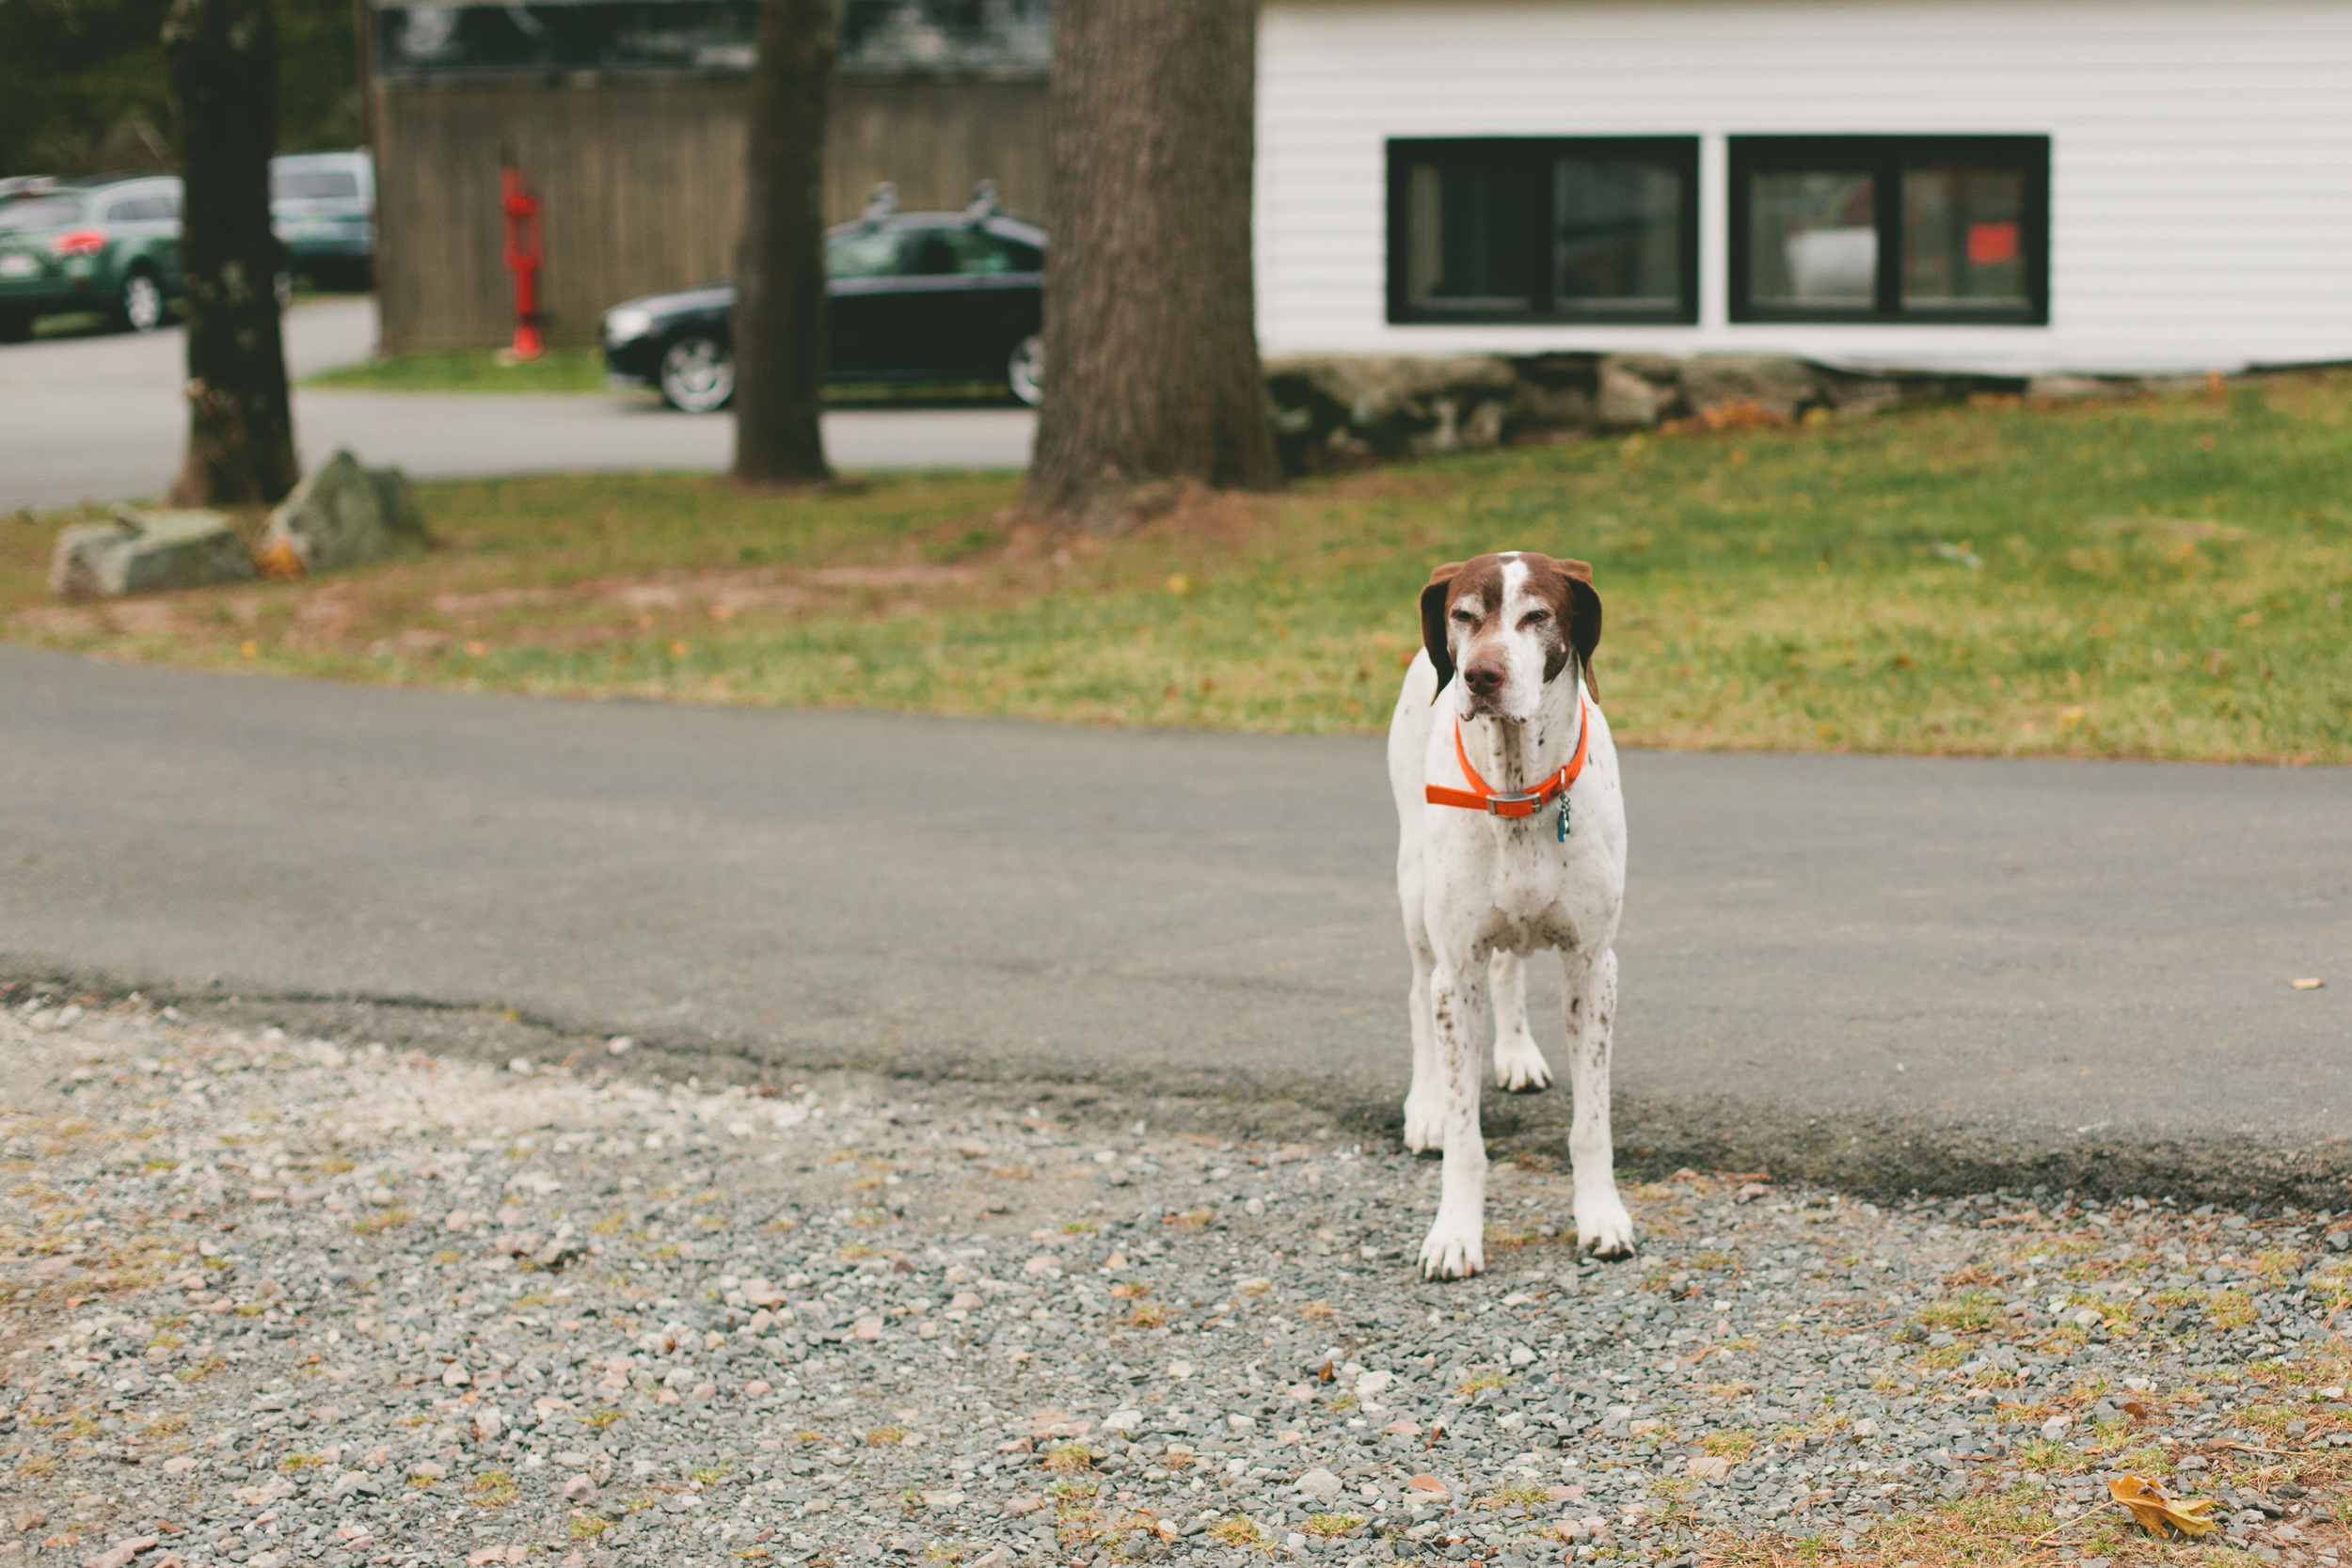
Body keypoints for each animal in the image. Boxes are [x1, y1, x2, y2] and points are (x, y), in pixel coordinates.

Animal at [1383, 549, 1628, 1278]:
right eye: (1464, 614)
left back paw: (1517, 1054)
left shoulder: (1594, 968)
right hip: (1415, 896)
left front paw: (1600, 1215)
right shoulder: (1456, 971)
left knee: (1509, 971)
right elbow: (1468, 1138)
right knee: (1418, 993)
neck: (1518, 787)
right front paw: (1455, 1232)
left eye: (1537, 615)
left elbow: (1591, 1124)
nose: (1480, 675)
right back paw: (1425, 1107)